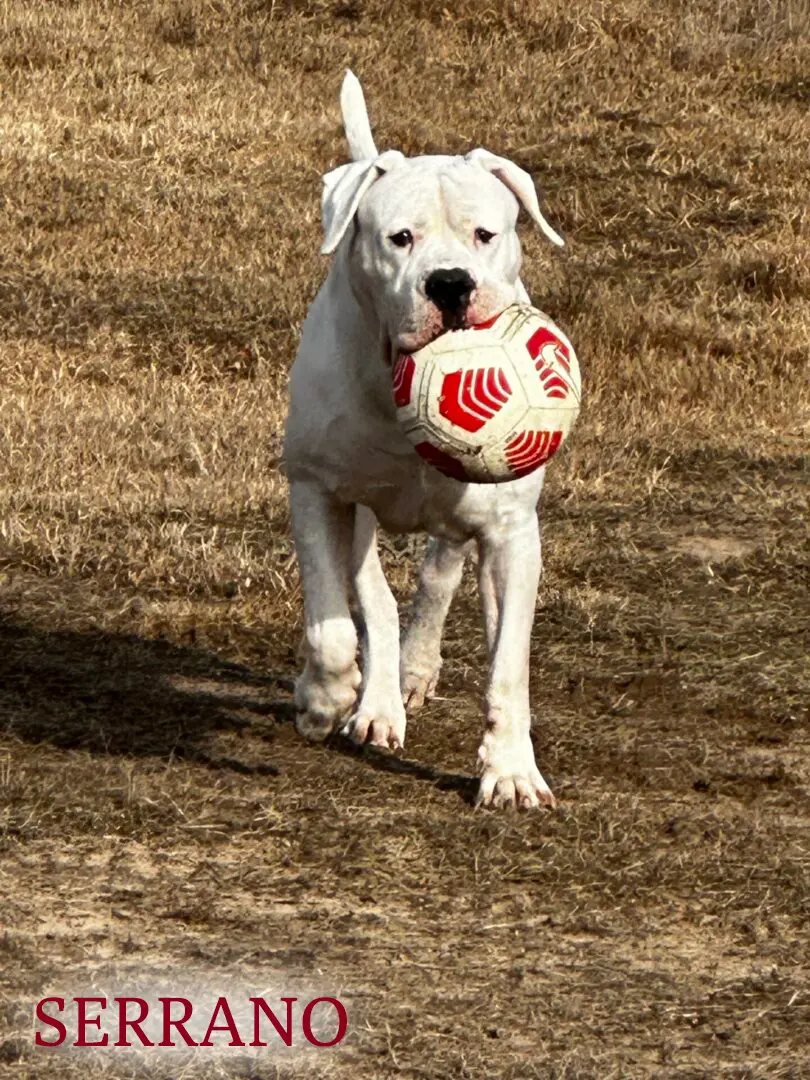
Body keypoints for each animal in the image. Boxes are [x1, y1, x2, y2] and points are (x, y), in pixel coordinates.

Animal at [289, 69, 565, 812]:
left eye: (485, 234)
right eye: (399, 238)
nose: (449, 282)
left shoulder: (511, 531)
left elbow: (508, 667)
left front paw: (511, 771)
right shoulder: (316, 490)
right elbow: (331, 626)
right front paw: (325, 699)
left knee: (439, 575)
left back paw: (414, 670)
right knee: (376, 604)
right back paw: (376, 702)